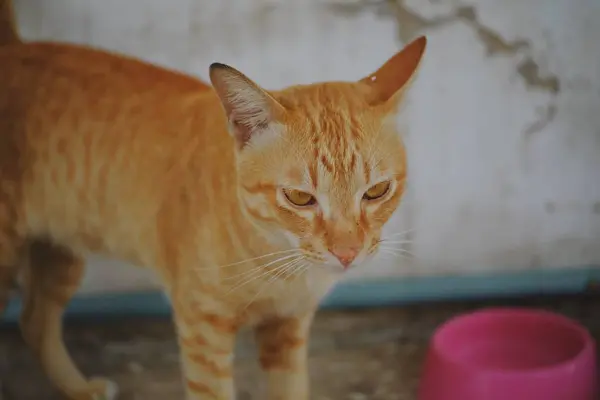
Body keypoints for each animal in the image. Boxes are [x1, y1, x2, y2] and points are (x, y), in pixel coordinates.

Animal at [0, 1, 426, 398]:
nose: (347, 253)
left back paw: (78, 388)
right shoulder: (202, 329)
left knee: (34, 320)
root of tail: (14, 47)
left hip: (62, 251)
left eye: (376, 191)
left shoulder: (287, 328)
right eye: (300, 198)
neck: (280, 265)